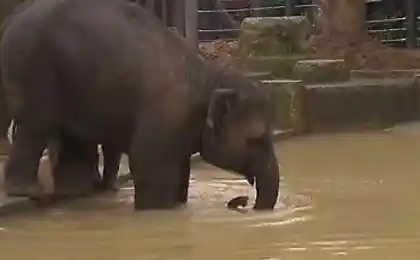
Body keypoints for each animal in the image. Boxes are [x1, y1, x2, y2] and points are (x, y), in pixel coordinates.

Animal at [1, 0, 280, 210]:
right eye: (254, 140)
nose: (242, 202)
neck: (210, 76)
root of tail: (13, 18)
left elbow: (180, 169)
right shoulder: (164, 115)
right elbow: (148, 163)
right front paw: (156, 210)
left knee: (71, 137)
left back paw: (76, 191)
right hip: (35, 67)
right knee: (37, 125)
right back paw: (30, 191)